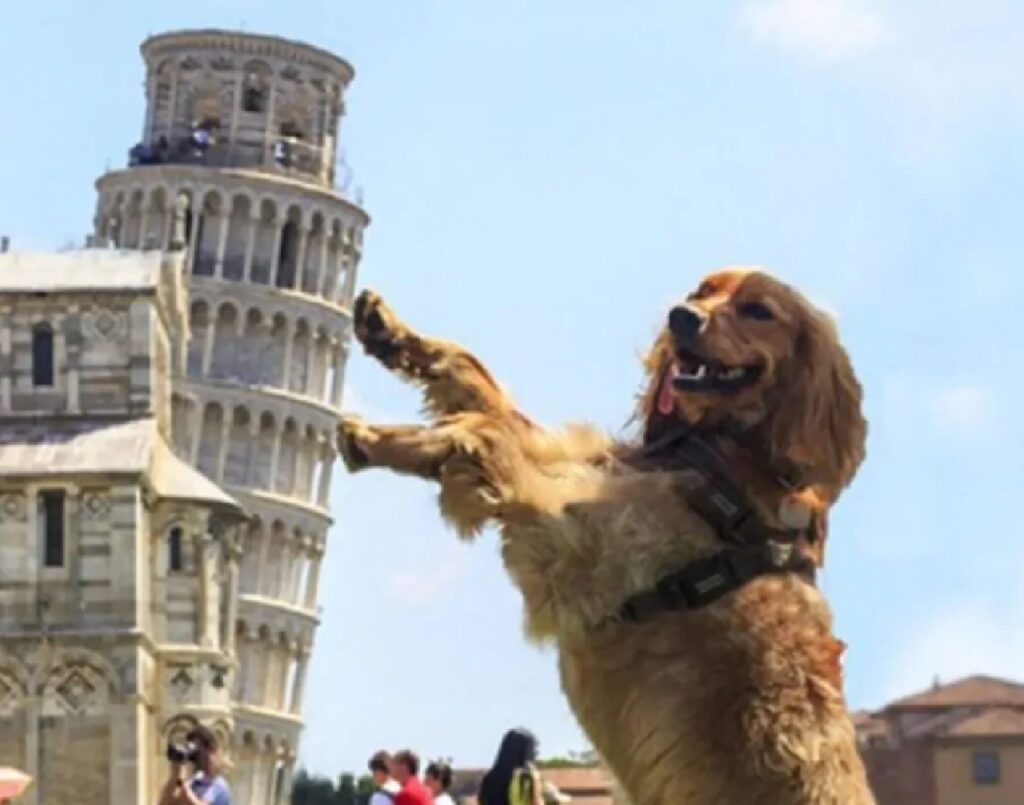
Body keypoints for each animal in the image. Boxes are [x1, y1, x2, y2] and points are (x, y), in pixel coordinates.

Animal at [335, 266, 872, 798]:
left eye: (758, 310)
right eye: (701, 290)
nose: (681, 316)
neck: (719, 459)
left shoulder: (572, 539)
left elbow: (488, 433)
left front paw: (407, 437)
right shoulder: (576, 471)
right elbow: (483, 387)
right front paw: (390, 341)